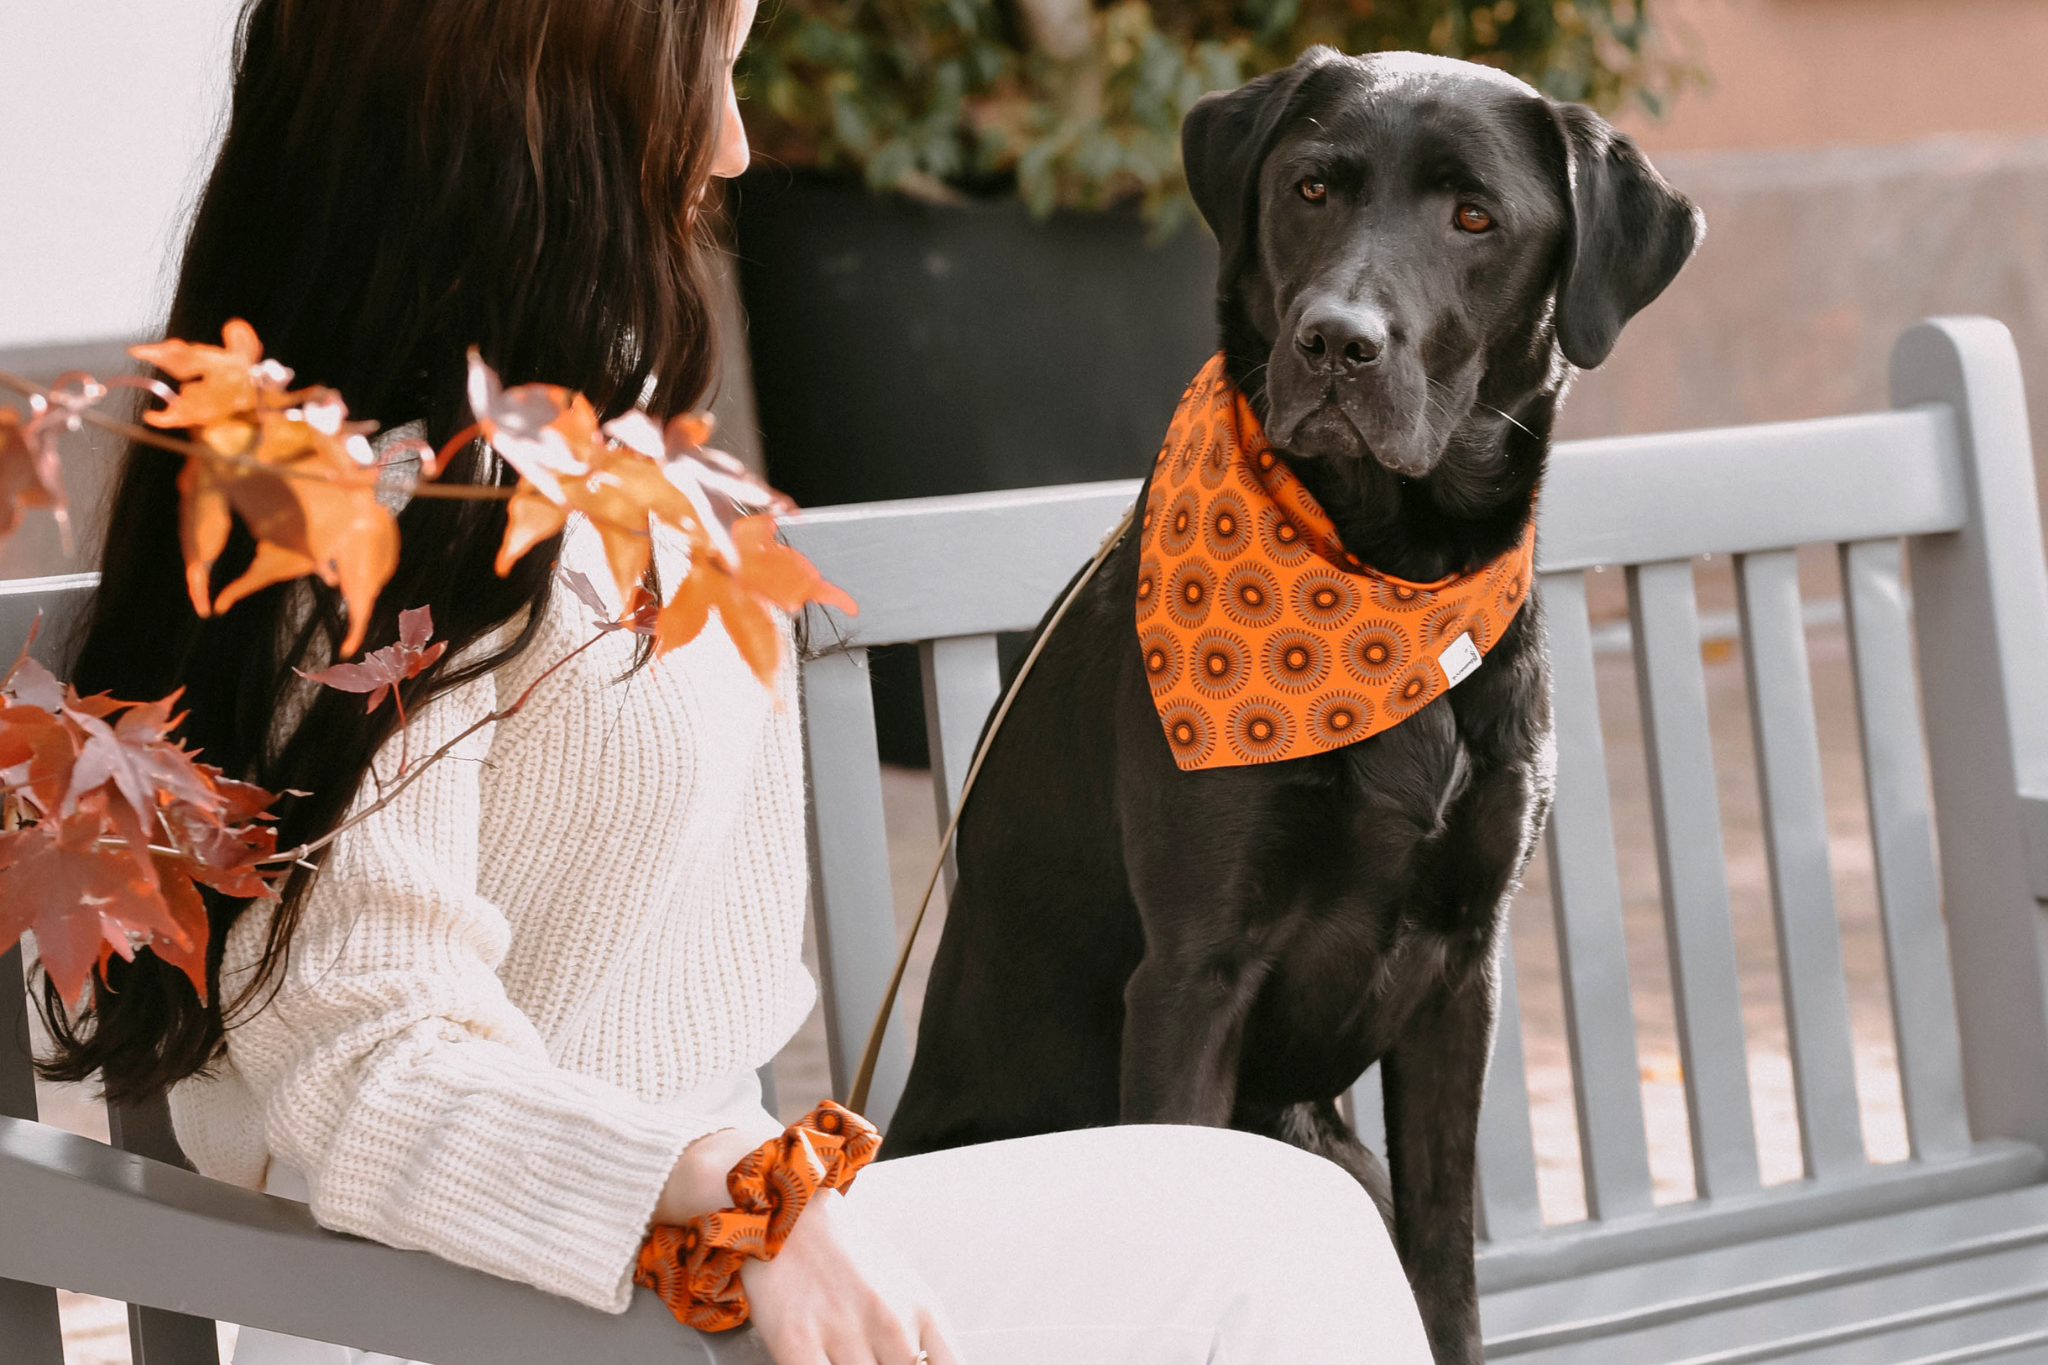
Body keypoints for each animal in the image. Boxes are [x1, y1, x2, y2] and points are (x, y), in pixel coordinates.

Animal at [888, 48, 1703, 1358]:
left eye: (1473, 216)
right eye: (1309, 189)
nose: (1335, 343)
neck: (1386, 579)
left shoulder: (1462, 972)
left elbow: (1443, 1256)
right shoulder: (1190, 974)